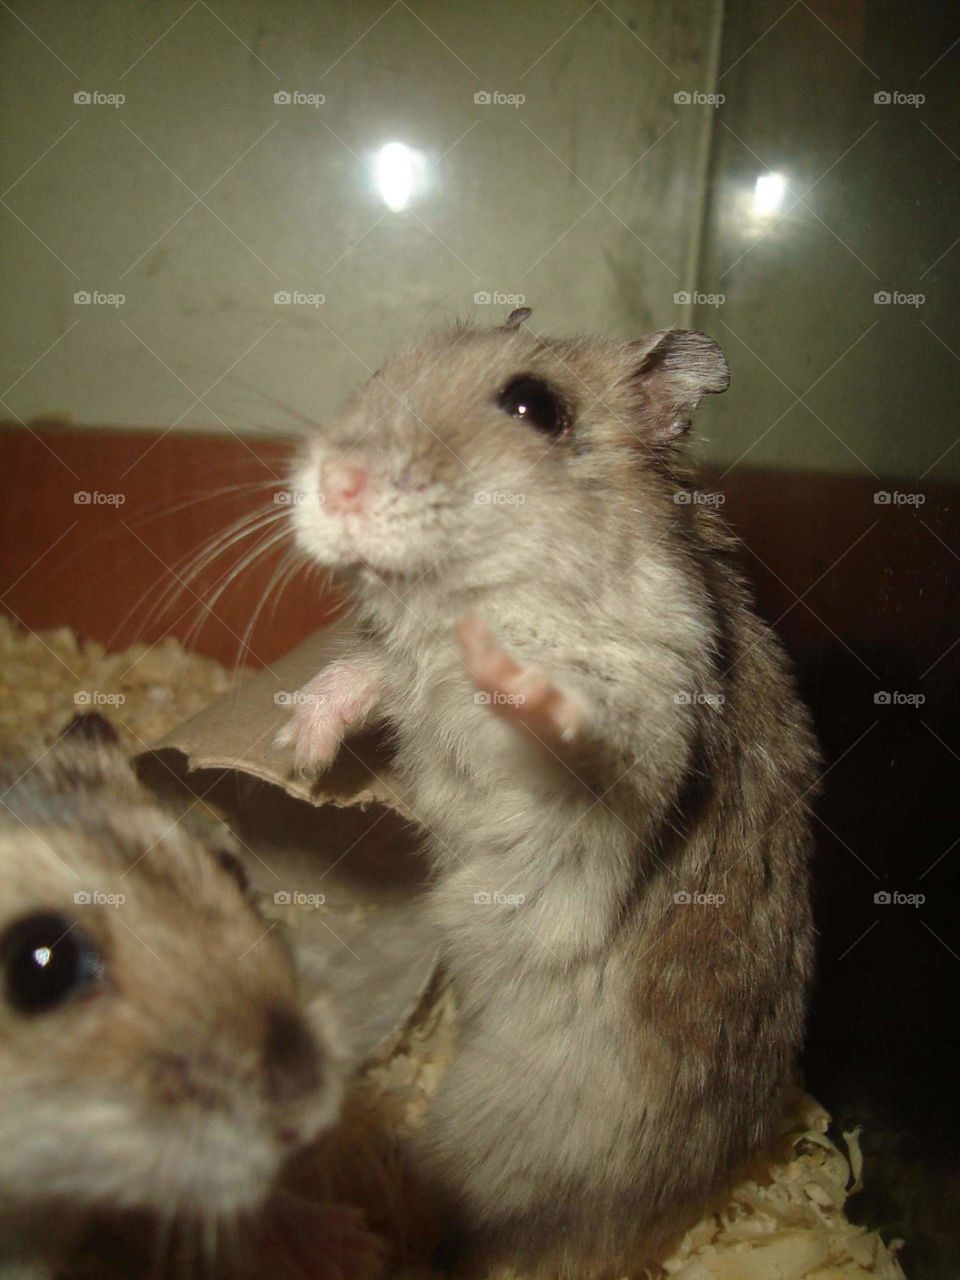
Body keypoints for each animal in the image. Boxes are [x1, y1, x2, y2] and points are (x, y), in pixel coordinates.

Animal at [277, 311, 820, 1277]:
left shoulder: (644, 729)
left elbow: (572, 727)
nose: (332, 481)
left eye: (536, 406)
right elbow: (365, 672)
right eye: (380, 372)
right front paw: (300, 752)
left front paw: (505, 668)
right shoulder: (403, 669)